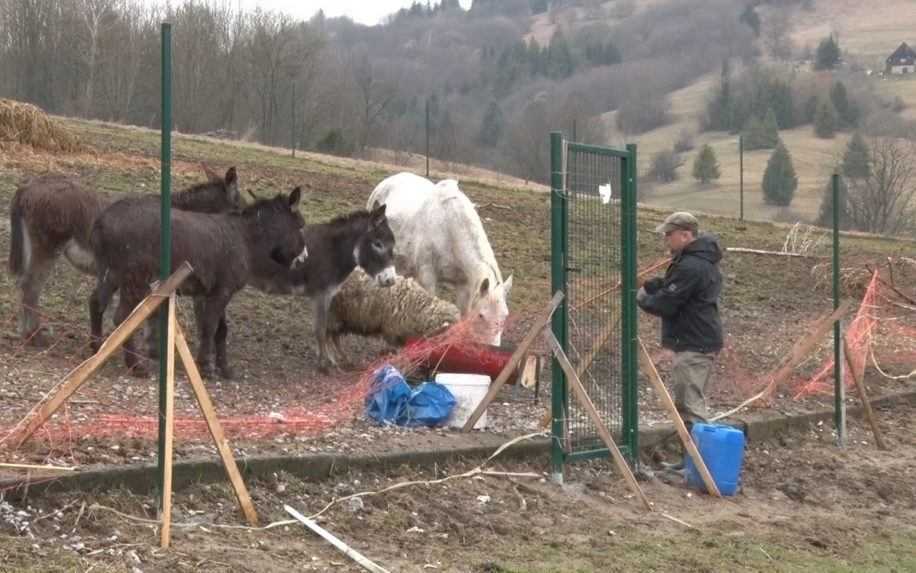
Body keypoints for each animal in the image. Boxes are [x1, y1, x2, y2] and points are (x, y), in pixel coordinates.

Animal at [366, 171, 512, 344]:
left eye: (505, 316)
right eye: (481, 315)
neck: (450, 229)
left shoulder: (464, 285)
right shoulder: (428, 276)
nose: (491, 348)